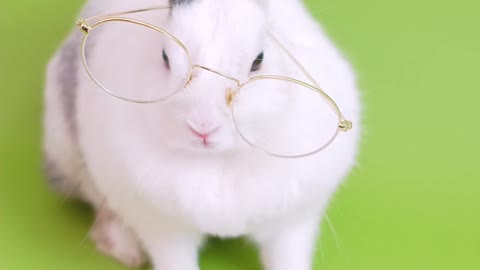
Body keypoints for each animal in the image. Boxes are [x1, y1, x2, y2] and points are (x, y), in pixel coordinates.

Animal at [44, 0, 360, 268]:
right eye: (165, 57)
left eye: (258, 61)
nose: (202, 126)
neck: (218, 161)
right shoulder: (163, 229)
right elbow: (174, 260)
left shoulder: (292, 225)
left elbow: (288, 258)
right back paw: (125, 250)